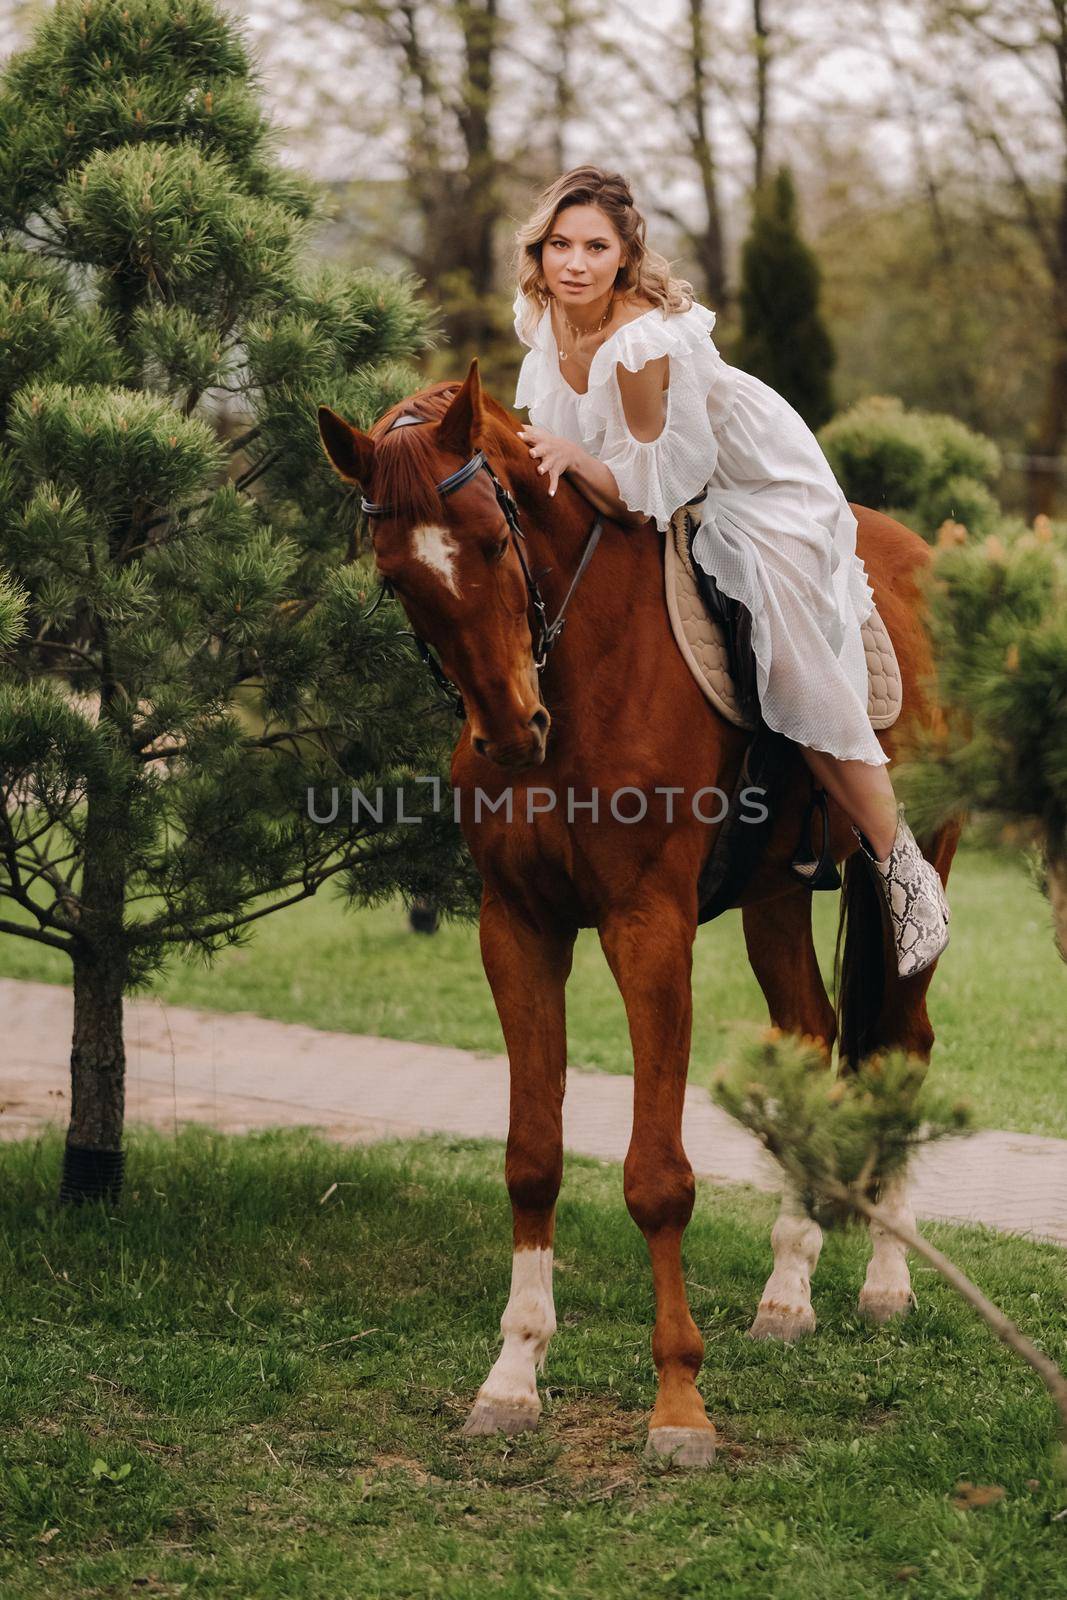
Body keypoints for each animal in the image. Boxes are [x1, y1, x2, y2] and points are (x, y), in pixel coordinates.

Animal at [316, 368, 959, 1465]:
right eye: (397, 578)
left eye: (491, 539)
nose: (510, 733)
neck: (586, 665)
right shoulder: (516, 928)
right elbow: (531, 1157)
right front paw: (511, 1376)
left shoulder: (645, 926)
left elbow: (657, 1176)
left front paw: (678, 1406)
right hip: (775, 897)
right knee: (811, 1031)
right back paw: (788, 1291)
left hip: (907, 873)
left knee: (895, 1045)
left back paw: (884, 1279)